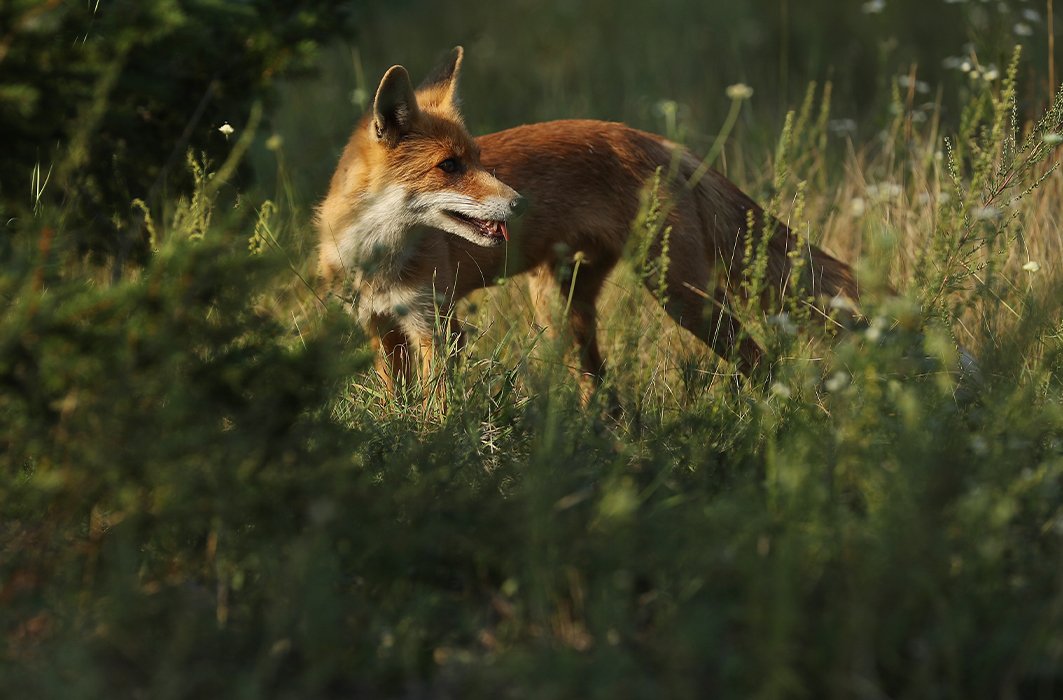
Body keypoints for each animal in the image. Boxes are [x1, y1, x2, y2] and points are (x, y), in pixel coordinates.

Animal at [316, 46, 860, 400]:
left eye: (478, 159)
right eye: (449, 166)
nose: (520, 203)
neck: (377, 260)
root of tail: (650, 138)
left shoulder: (436, 326)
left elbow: (436, 409)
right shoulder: (380, 328)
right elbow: (397, 407)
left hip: (684, 297)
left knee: (760, 360)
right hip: (561, 311)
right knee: (603, 396)